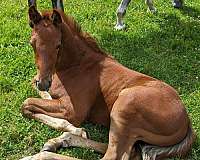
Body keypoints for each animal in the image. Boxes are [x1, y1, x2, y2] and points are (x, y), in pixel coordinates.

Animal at [21, 2, 194, 160]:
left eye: (58, 45)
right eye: (32, 43)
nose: (43, 82)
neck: (77, 65)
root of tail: (187, 121)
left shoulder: (73, 111)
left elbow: (26, 104)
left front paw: (75, 129)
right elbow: (35, 100)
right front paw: (78, 131)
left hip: (124, 106)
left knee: (113, 156)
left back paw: (38, 155)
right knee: (131, 152)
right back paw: (58, 141)